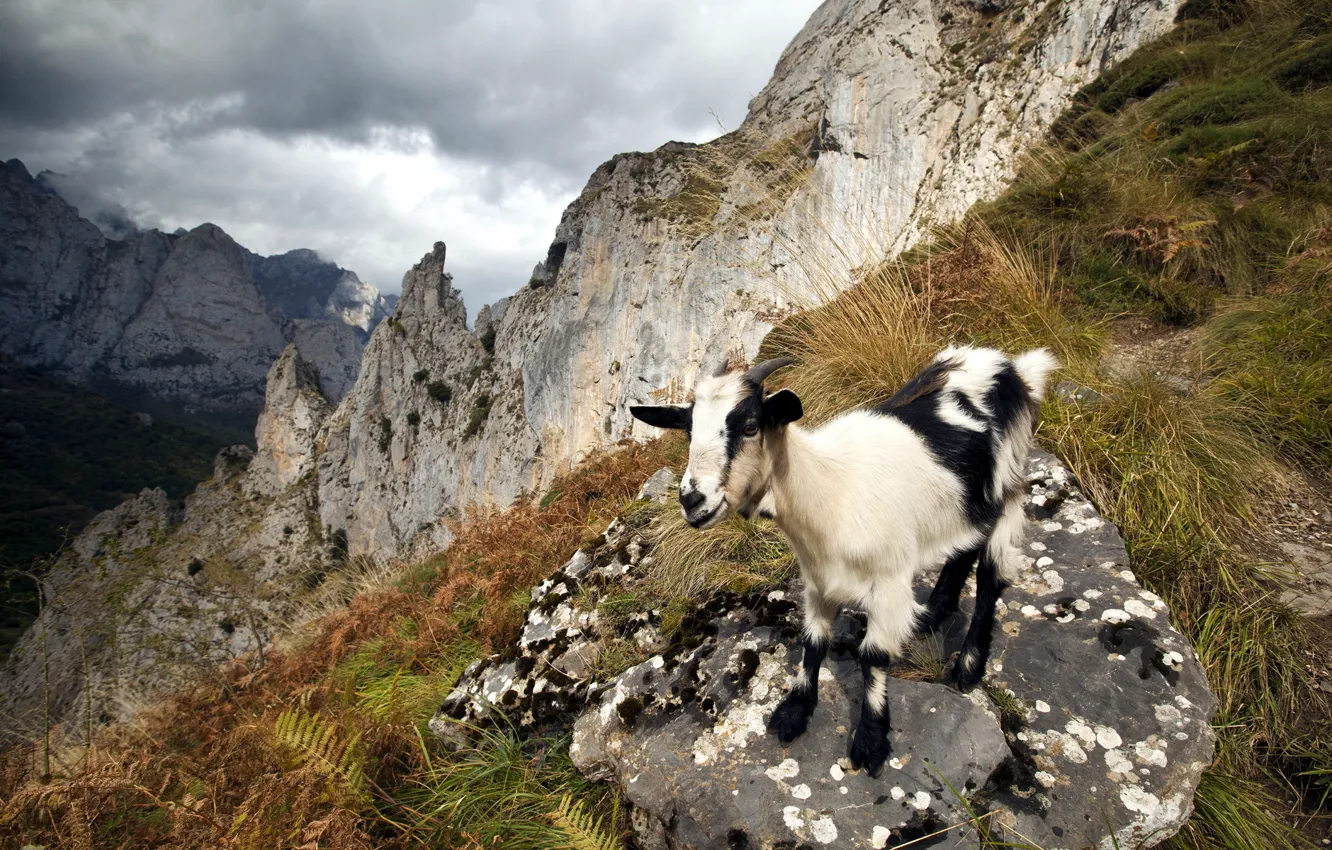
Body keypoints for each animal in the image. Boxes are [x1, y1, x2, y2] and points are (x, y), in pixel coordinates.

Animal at [630, 345, 1058, 775]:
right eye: (688, 430)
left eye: (751, 425)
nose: (691, 500)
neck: (830, 491)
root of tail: (1008, 366)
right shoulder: (818, 580)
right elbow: (813, 641)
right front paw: (795, 711)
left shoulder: (889, 581)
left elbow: (873, 656)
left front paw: (871, 739)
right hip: (966, 502)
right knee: (964, 548)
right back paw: (933, 613)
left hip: (1009, 484)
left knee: (991, 575)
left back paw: (968, 665)